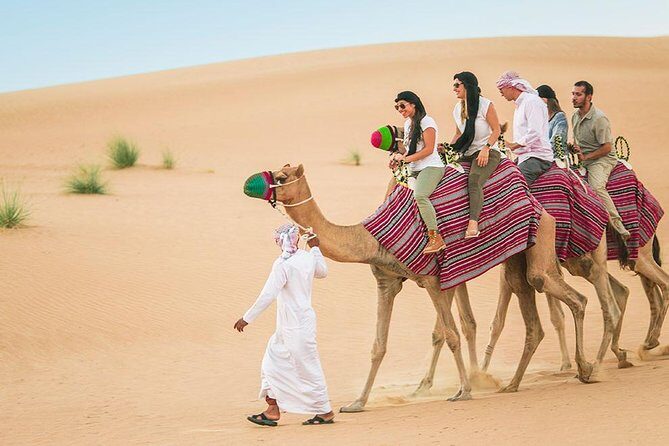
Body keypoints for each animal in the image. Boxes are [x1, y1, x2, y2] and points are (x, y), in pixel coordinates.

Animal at [244, 164, 596, 412]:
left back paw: (585, 368)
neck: (369, 237)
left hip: (542, 238)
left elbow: (450, 334)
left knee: (569, 295)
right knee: (534, 312)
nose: (250, 183)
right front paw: (357, 403)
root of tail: (535, 199)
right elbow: (378, 345)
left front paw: (464, 391)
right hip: (516, 257)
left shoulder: (432, 280)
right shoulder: (386, 281)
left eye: (281, 175)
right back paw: (514, 384)